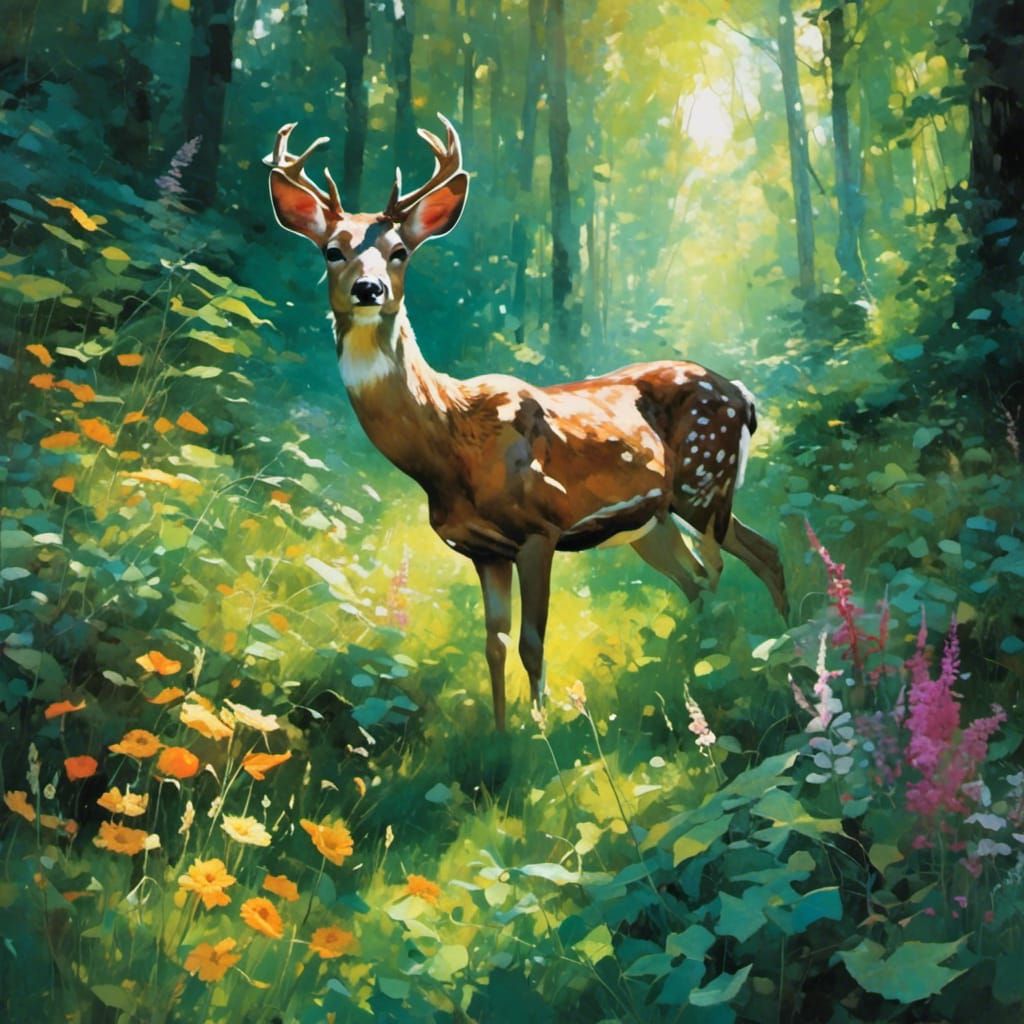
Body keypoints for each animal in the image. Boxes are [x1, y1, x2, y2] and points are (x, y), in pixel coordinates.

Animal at [266, 114, 789, 731]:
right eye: (331, 250)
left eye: (399, 252)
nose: (368, 289)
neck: (451, 443)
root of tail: (744, 397)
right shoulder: (483, 548)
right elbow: (493, 644)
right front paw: (499, 731)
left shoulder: (542, 527)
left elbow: (532, 643)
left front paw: (539, 730)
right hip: (656, 519)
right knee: (718, 571)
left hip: (704, 482)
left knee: (734, 562)